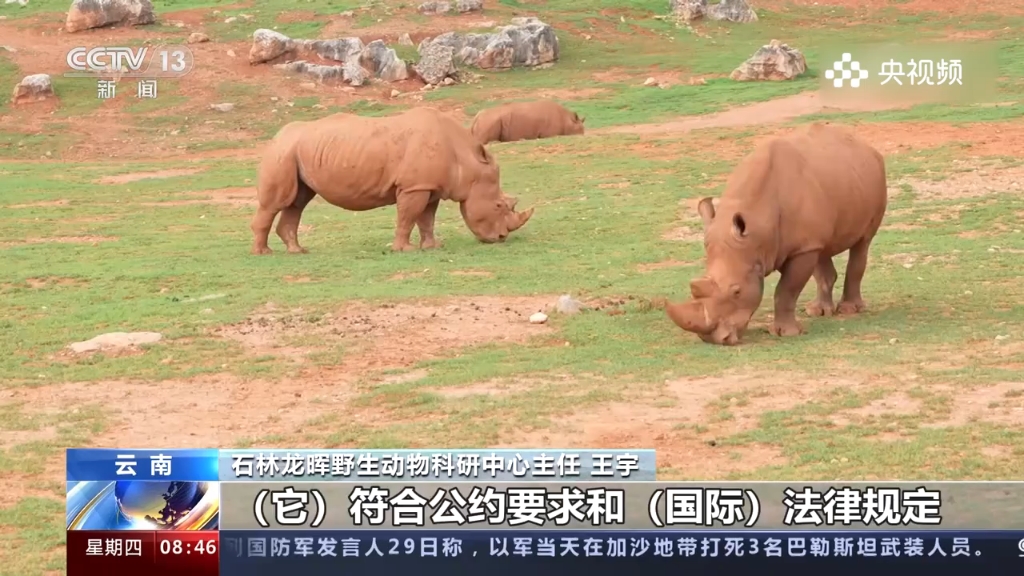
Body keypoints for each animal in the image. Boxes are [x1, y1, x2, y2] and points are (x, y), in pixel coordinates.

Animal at [251, 106, 536, 252]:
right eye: (498, 205)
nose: (501, 238)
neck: (465, 159)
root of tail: (276, 135)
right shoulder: (414, 187)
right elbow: (408, 217)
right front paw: (404, 250)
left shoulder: (429, 187)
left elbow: (426, 219)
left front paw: (432, 246)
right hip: (282, 153)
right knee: (277, 203)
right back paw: (264, 253)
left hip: (296, 152)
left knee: (297, 202)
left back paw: (298, 251)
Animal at [663, 121, 888, 342]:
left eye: (737, 291)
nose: (713, 339)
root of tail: (865, 145)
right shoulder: (783, 246)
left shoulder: (796, 249)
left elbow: (786, 289)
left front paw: (786, 333)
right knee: (822, 248)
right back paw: (817, 311)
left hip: (877, 176)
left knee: (863, 243)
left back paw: (849, 310)